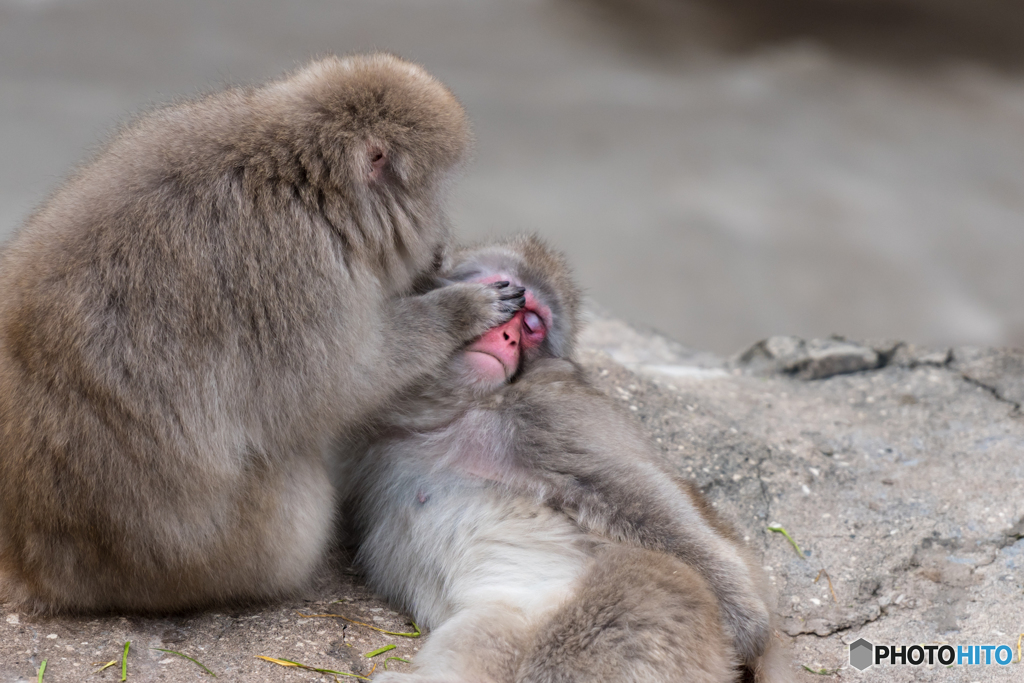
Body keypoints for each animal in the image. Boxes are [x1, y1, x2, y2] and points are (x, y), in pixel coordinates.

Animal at [0, 54, 524, 614]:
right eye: (433, 197)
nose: (442, 238)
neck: (304, 179)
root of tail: (36, 564)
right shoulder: (300, 269)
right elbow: (339, 385)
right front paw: (458, 309)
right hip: (214, 556)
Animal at [339, 236, 786, 683]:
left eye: (531, 325)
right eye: (507, 294)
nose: (508, 336)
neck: (453, 413)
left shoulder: (551, 412)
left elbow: (638, 494)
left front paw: (747, 621)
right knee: (487, 634)